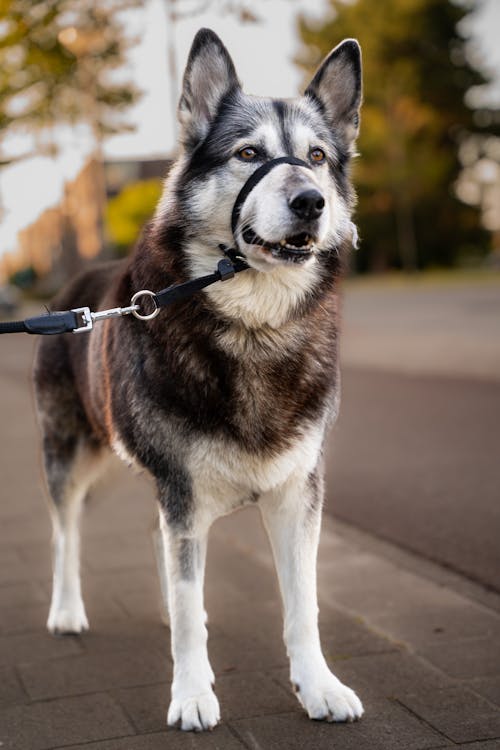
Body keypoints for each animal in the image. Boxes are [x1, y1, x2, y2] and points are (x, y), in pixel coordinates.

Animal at [34, 29, 364, 736]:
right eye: (248, 154)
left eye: (317, 158)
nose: (311, 202)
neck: (254, 327)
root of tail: (72, 294)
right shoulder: (182, 491)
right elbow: (191, 611)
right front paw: (190, 694)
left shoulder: (297, 493)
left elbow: (303, 605)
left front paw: (319, 686)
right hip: (74, 456)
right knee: (66, 533)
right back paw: (67, 610)